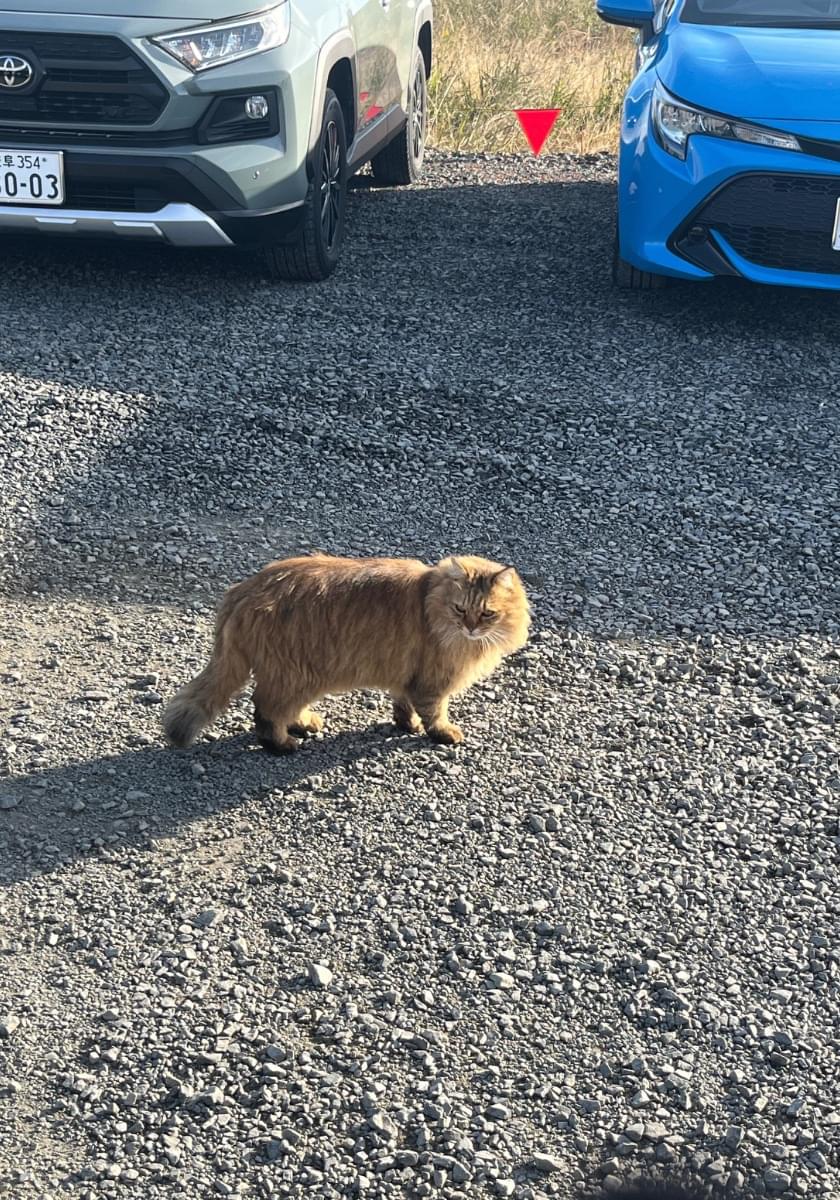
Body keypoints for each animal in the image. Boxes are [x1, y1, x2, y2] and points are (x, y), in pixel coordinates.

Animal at [162, 553, 530, 754]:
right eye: (460, 609)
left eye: (487, 614)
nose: (471, 628)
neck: (430, 601)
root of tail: (242, 590)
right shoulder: (433, 679)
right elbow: (434, 713)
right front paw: (441, 733)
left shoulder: (407, 672)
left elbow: (404, 704)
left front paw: (406, 725)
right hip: (296, 675)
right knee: (266, 712)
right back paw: (282, 744)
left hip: (297, 677)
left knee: (280, 709)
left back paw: (304, 724)